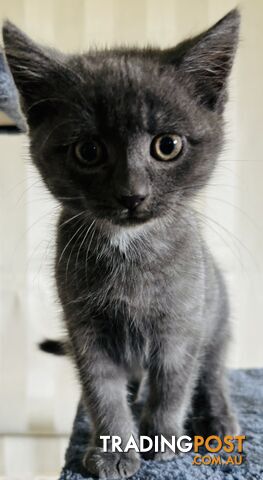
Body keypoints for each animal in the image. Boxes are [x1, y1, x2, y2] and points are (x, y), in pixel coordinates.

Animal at [2, 9, 241, 478]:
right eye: (89, 151)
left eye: (167, 146)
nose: (133, 194)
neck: (130, 250)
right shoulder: (85, 330)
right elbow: (101, 391)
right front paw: (113, 447)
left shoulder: (182, 324)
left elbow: (173, 384)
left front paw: (162, 438)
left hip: (217, 311)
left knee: (211, 371)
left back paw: (218, 419)